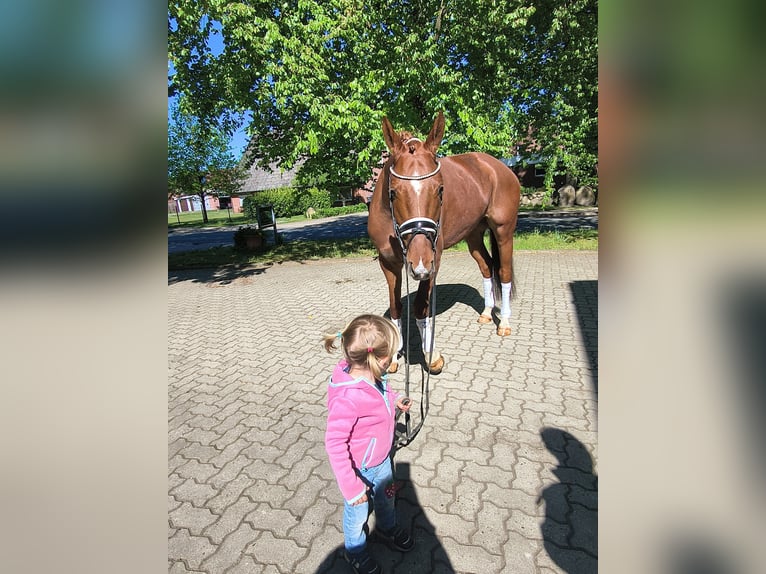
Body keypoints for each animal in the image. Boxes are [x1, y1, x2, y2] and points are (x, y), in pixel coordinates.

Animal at [367, 111, 520, 375]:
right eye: (393, 192)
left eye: (440, 189)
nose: (419, 263)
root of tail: (497, 166)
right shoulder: (388, 264)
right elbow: (396, 307)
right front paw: (395, 356)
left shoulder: (433, 262)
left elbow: (420, 306)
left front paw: (431, 356)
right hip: (473, 235)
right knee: (486, 266)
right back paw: (487, 312)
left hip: (504, 232)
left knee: (504, 271)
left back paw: (504, 322)